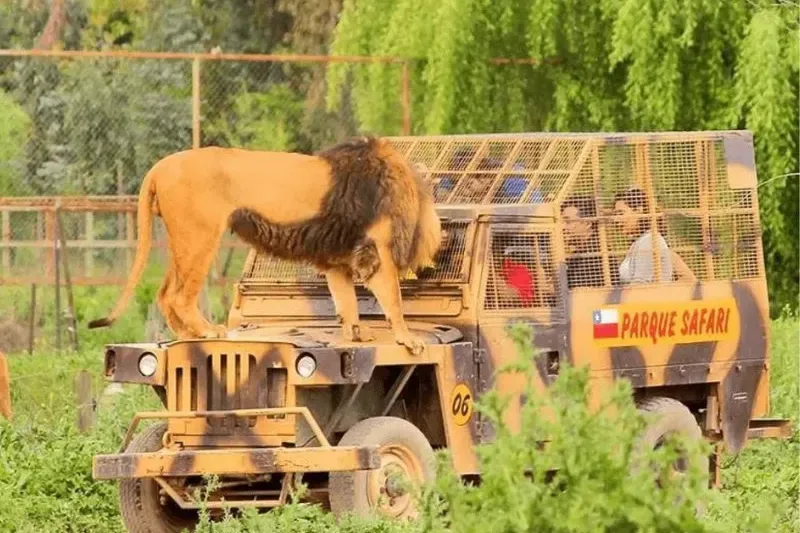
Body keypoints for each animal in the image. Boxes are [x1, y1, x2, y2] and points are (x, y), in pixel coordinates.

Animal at [87, 136, 442, 354]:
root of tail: (159, 166)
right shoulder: (377, 250)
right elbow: (393, 300)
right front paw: (408, 340)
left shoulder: (339, 258)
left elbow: (346, 302)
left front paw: (356, 334)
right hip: (200, 236)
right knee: (179, 296)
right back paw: (208, 332)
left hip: (181, 240)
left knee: (163, 294)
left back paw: (187, 335)